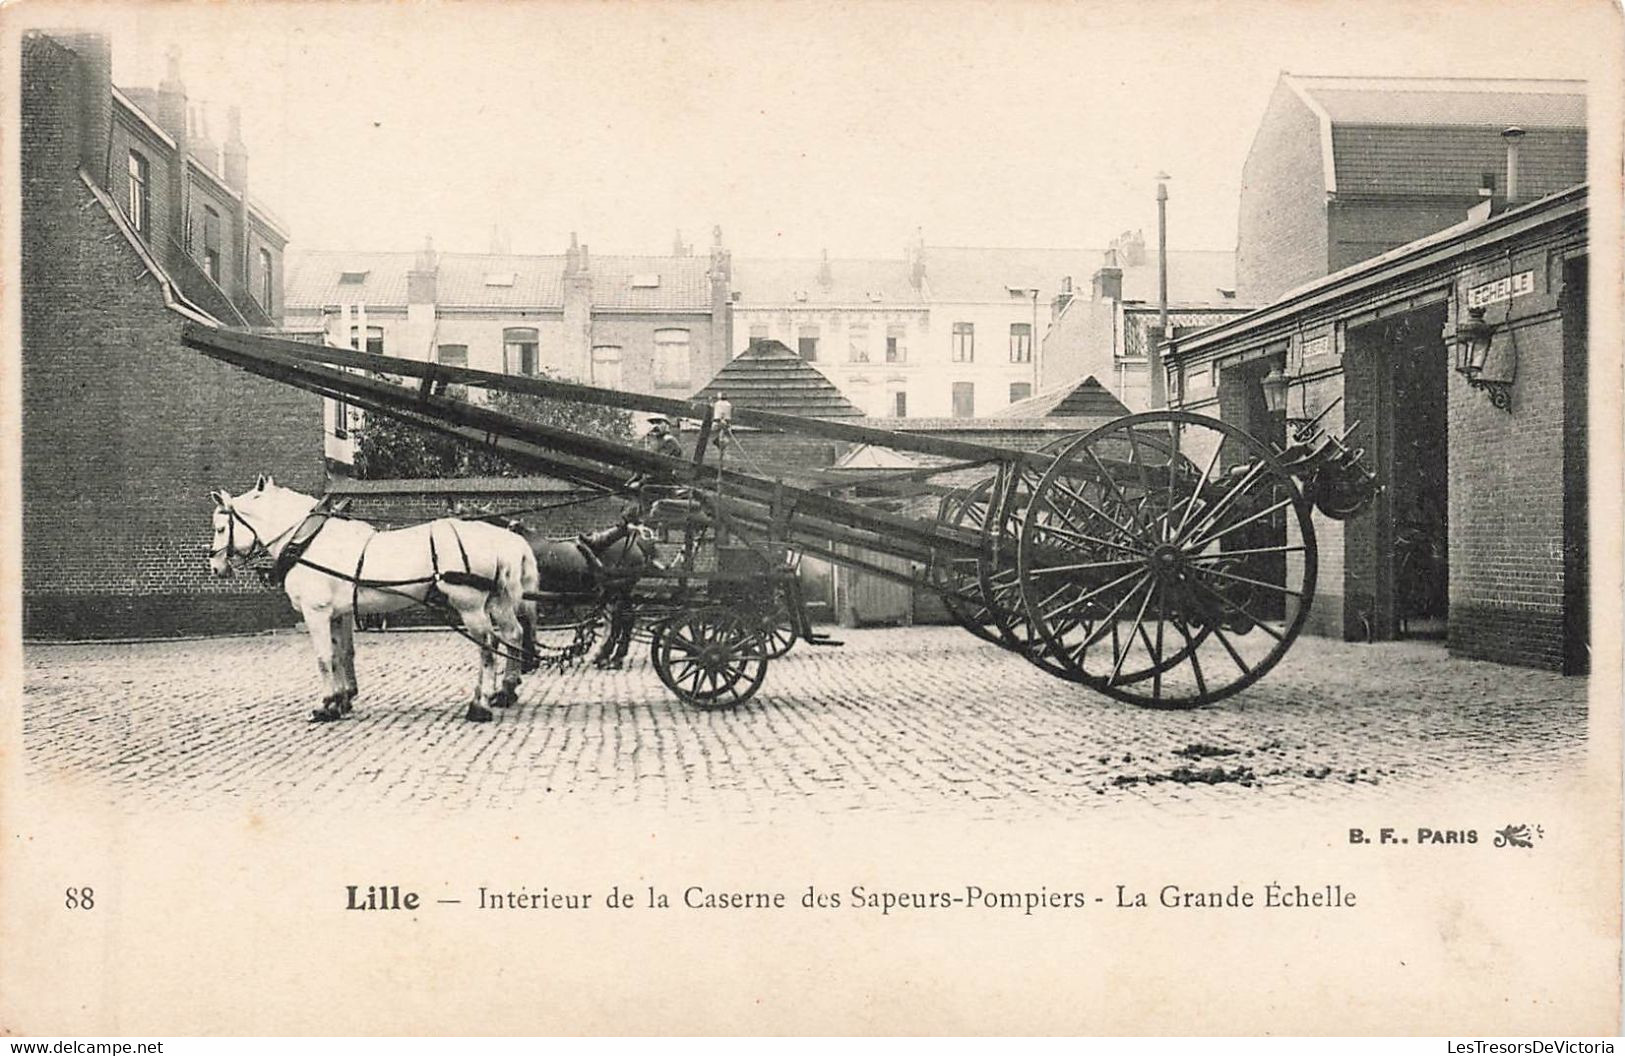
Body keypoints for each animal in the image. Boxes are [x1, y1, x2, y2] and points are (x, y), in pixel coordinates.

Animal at [206, 474, 539, 718]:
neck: (309, 542)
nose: (215, 566)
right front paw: (341, 700)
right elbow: (341, 655)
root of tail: (503, 537)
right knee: (513, 634)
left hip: (470, 605)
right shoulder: (339, 613)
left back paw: (479, 706)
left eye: (221, 528)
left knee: (487, 648)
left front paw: (325, 705)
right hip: (498, 603)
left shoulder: (316, 612)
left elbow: (323, 658)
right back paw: (505, 691)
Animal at [507, 506, 659, 669]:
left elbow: (526, 622)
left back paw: (609, 656)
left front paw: (528, 661)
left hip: (619, 589)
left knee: (621, 619)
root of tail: (637, 546)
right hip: (619, 592)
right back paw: (610, 656)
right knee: (623, 619)